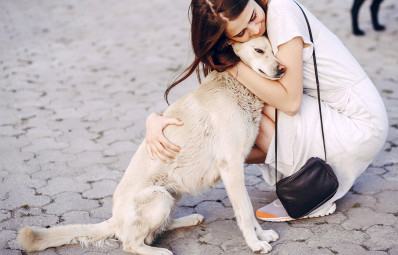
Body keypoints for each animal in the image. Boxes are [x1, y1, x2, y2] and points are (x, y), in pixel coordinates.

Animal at [18, 36, 286, 255]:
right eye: (259, 50)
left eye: (276, 49)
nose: (282, 69)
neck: (236, 86)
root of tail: (114, 218)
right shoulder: (231, 167)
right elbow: (246, 211)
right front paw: (256, 243)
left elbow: (249, 212)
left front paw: (262, 235)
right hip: (158, 198)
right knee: (131, 244)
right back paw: (160, 252)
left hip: (171, 194)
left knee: (160, 228)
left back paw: (189, 219)